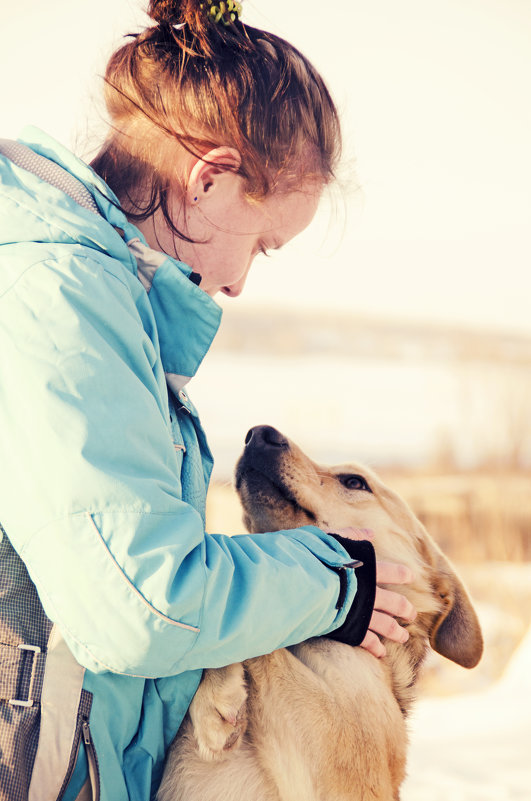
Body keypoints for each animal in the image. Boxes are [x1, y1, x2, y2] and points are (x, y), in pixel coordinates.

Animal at [157, 424, 482, 800]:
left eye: (354, 481)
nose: (259, 433)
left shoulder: (330, 763)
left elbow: (267, 640)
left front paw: (215, 702)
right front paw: (213, 700)